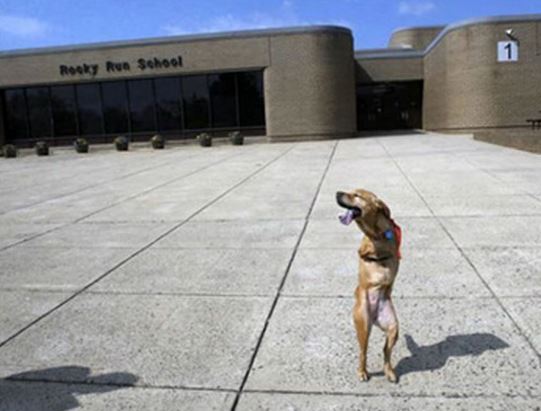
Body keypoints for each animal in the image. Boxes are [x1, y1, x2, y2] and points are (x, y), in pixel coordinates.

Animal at [336, 189, 402, 384]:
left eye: (356, 195)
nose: (337, 193)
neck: (376, 232)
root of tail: (373, 318)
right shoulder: (364, 249)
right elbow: (367, 253)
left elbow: (391, 251)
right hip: (363, 325)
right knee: (363, 352)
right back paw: (362, 372)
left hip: (393, 327)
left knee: (385, 351)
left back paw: (389, 371)